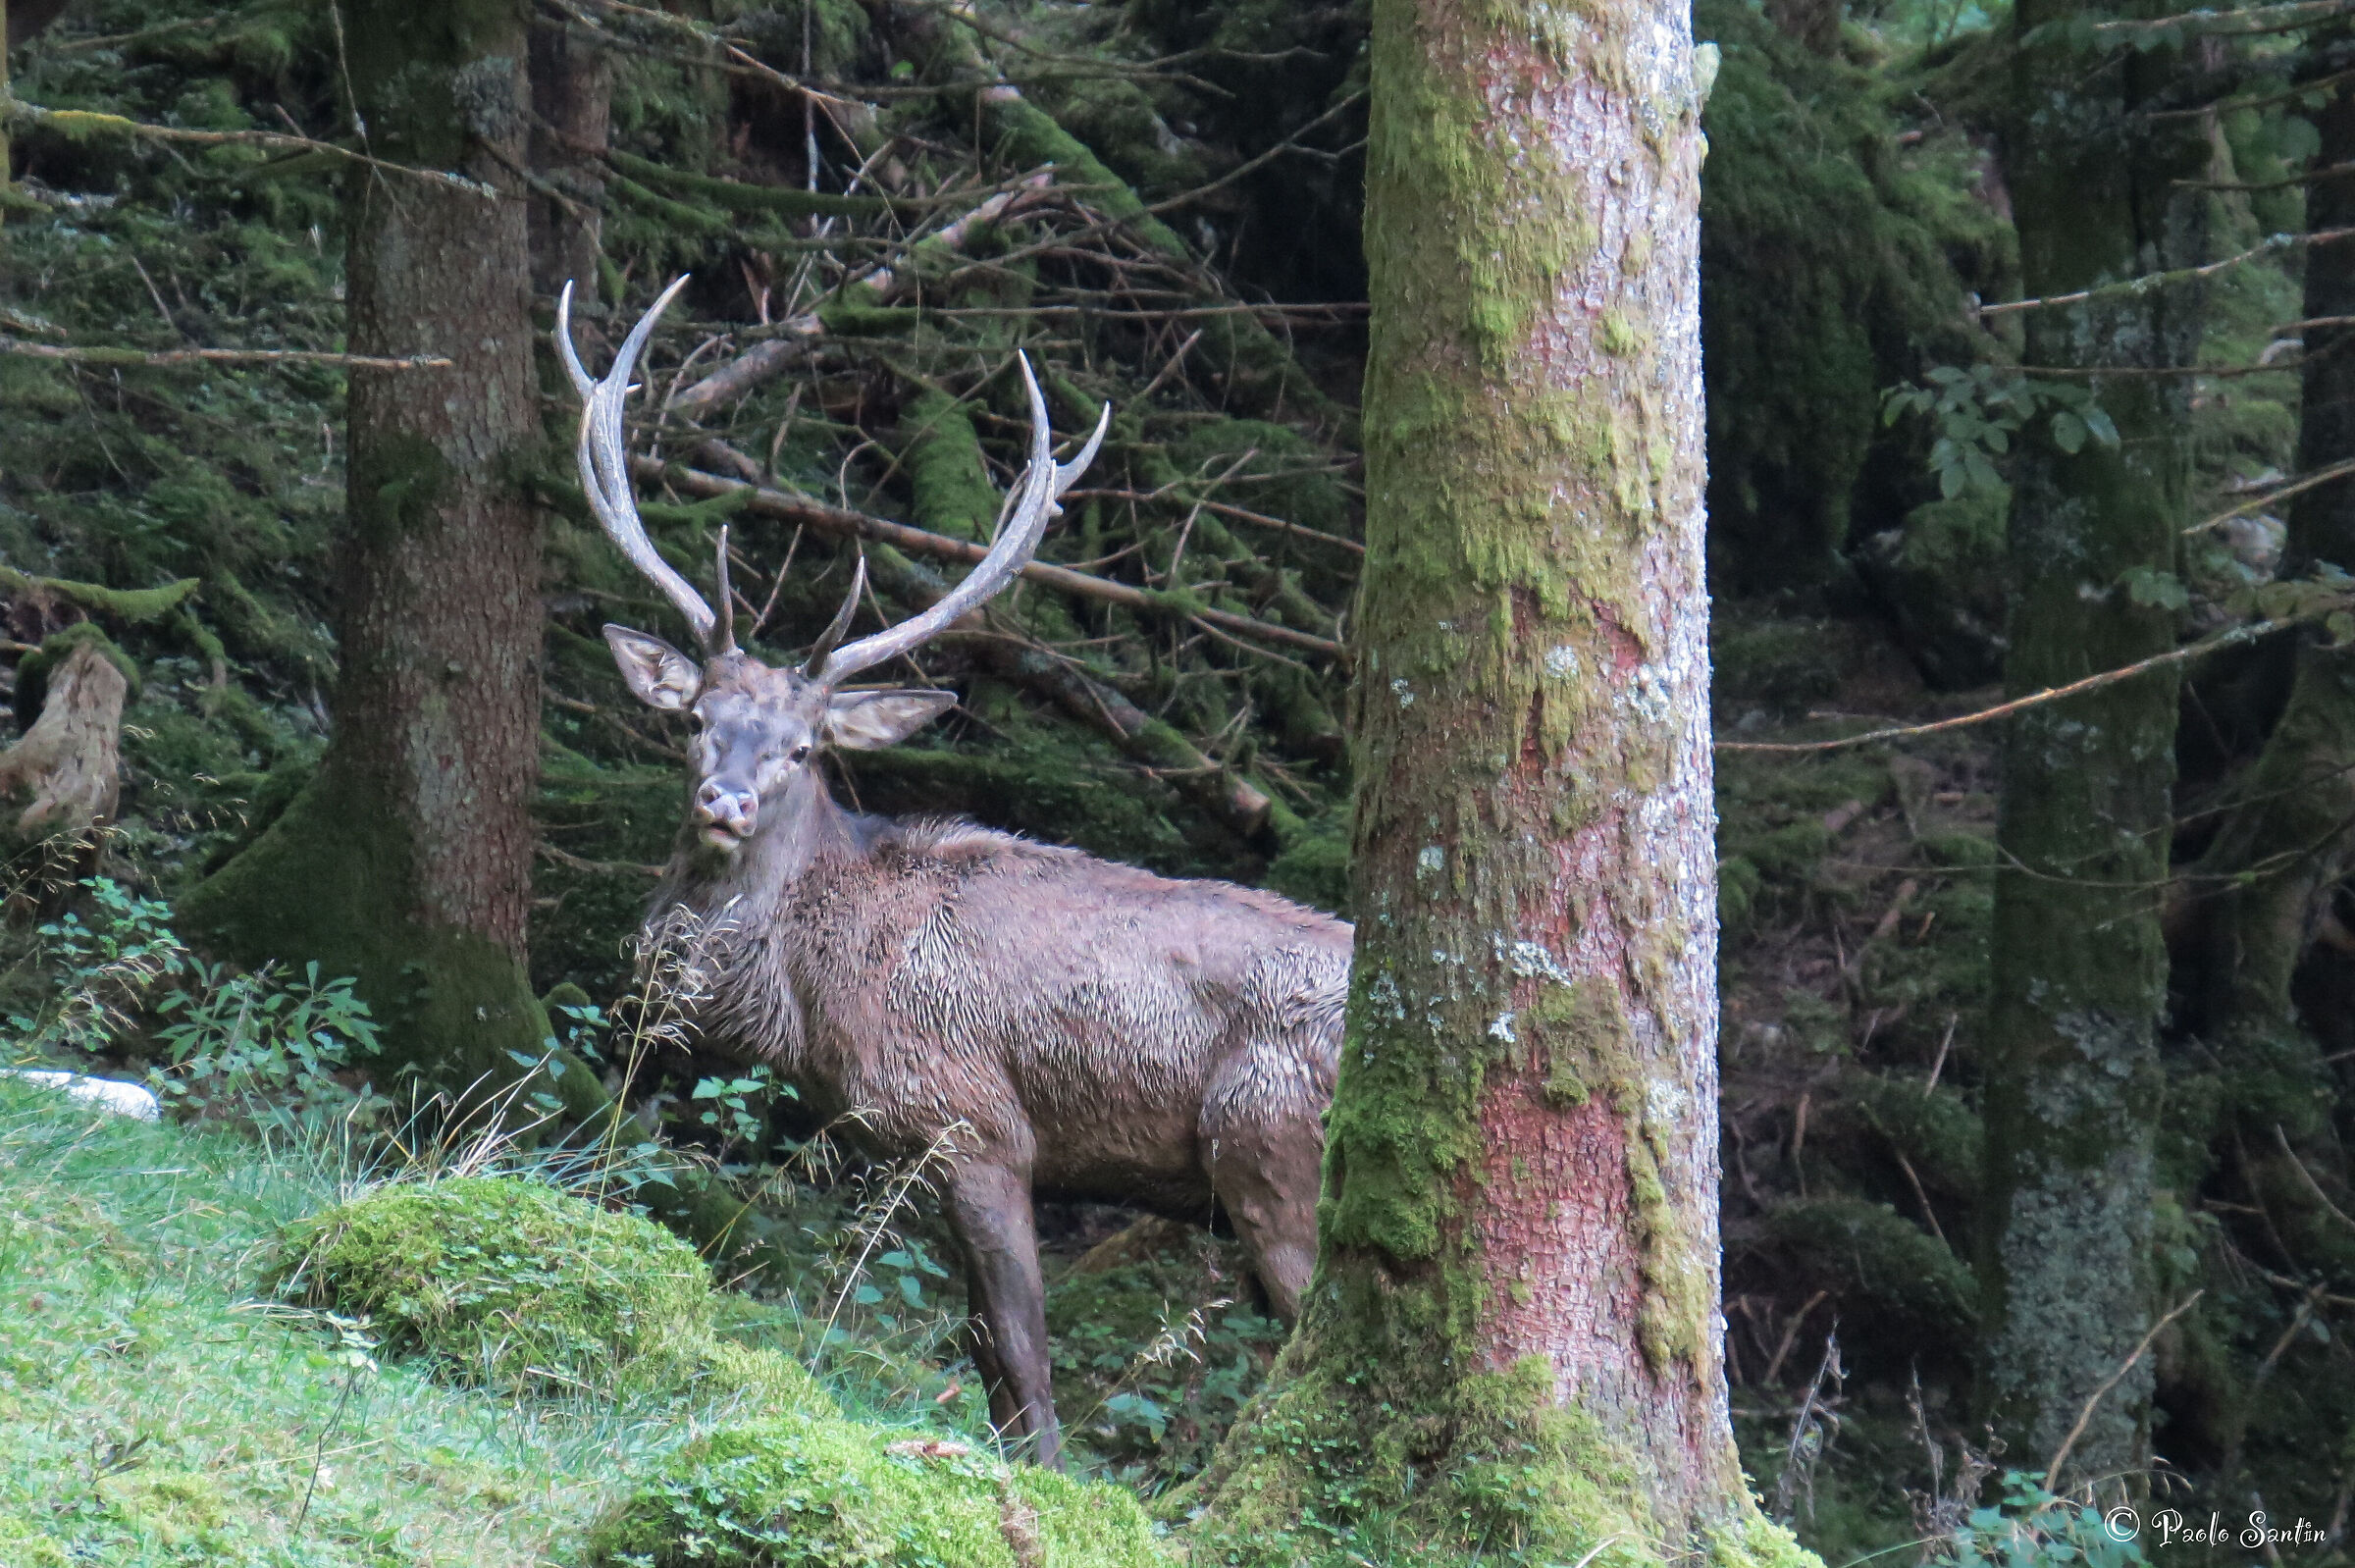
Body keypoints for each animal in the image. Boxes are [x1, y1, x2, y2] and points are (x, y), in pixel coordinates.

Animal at [558, 279, 1351, 1468]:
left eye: (804, 749)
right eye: (696, 721)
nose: (725, 802)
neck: (810, 1001)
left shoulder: (976, 1120)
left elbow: (1020, 1354)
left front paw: (1055, 1483)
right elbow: (982, 1357)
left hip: (1274, 1149)